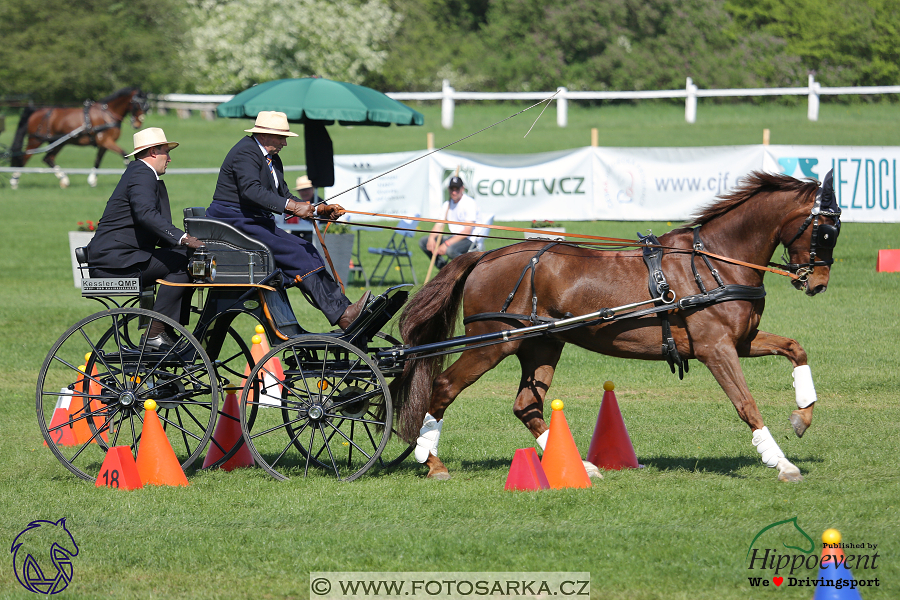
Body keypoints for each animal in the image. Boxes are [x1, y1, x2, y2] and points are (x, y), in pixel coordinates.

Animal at [8, 86, 148, 189]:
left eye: (146, 106)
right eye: (137, 104)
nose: (138, 124)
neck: (107, 114)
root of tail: (36, 111)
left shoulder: (103, 143)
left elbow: (98, 160)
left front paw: (92, 180)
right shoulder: (105, 141)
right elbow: (124, 154)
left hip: (58, 143)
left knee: (48, 158)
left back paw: (64, 180)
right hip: (35, 140)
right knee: (24, 158)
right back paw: (14, 181)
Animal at [392, 169, 836, 482]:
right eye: (826, 230)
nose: (818, 283)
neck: (714, 261)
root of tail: (485, 257)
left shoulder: (741, 341)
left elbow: (796, 348)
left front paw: (802, 416)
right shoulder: (716, 348)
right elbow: (746, 403)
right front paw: (780, 462)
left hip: (541, 344)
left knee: (526, 404)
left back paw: (579, 466)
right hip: (491, 342)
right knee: (443, 388)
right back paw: (431, 461)